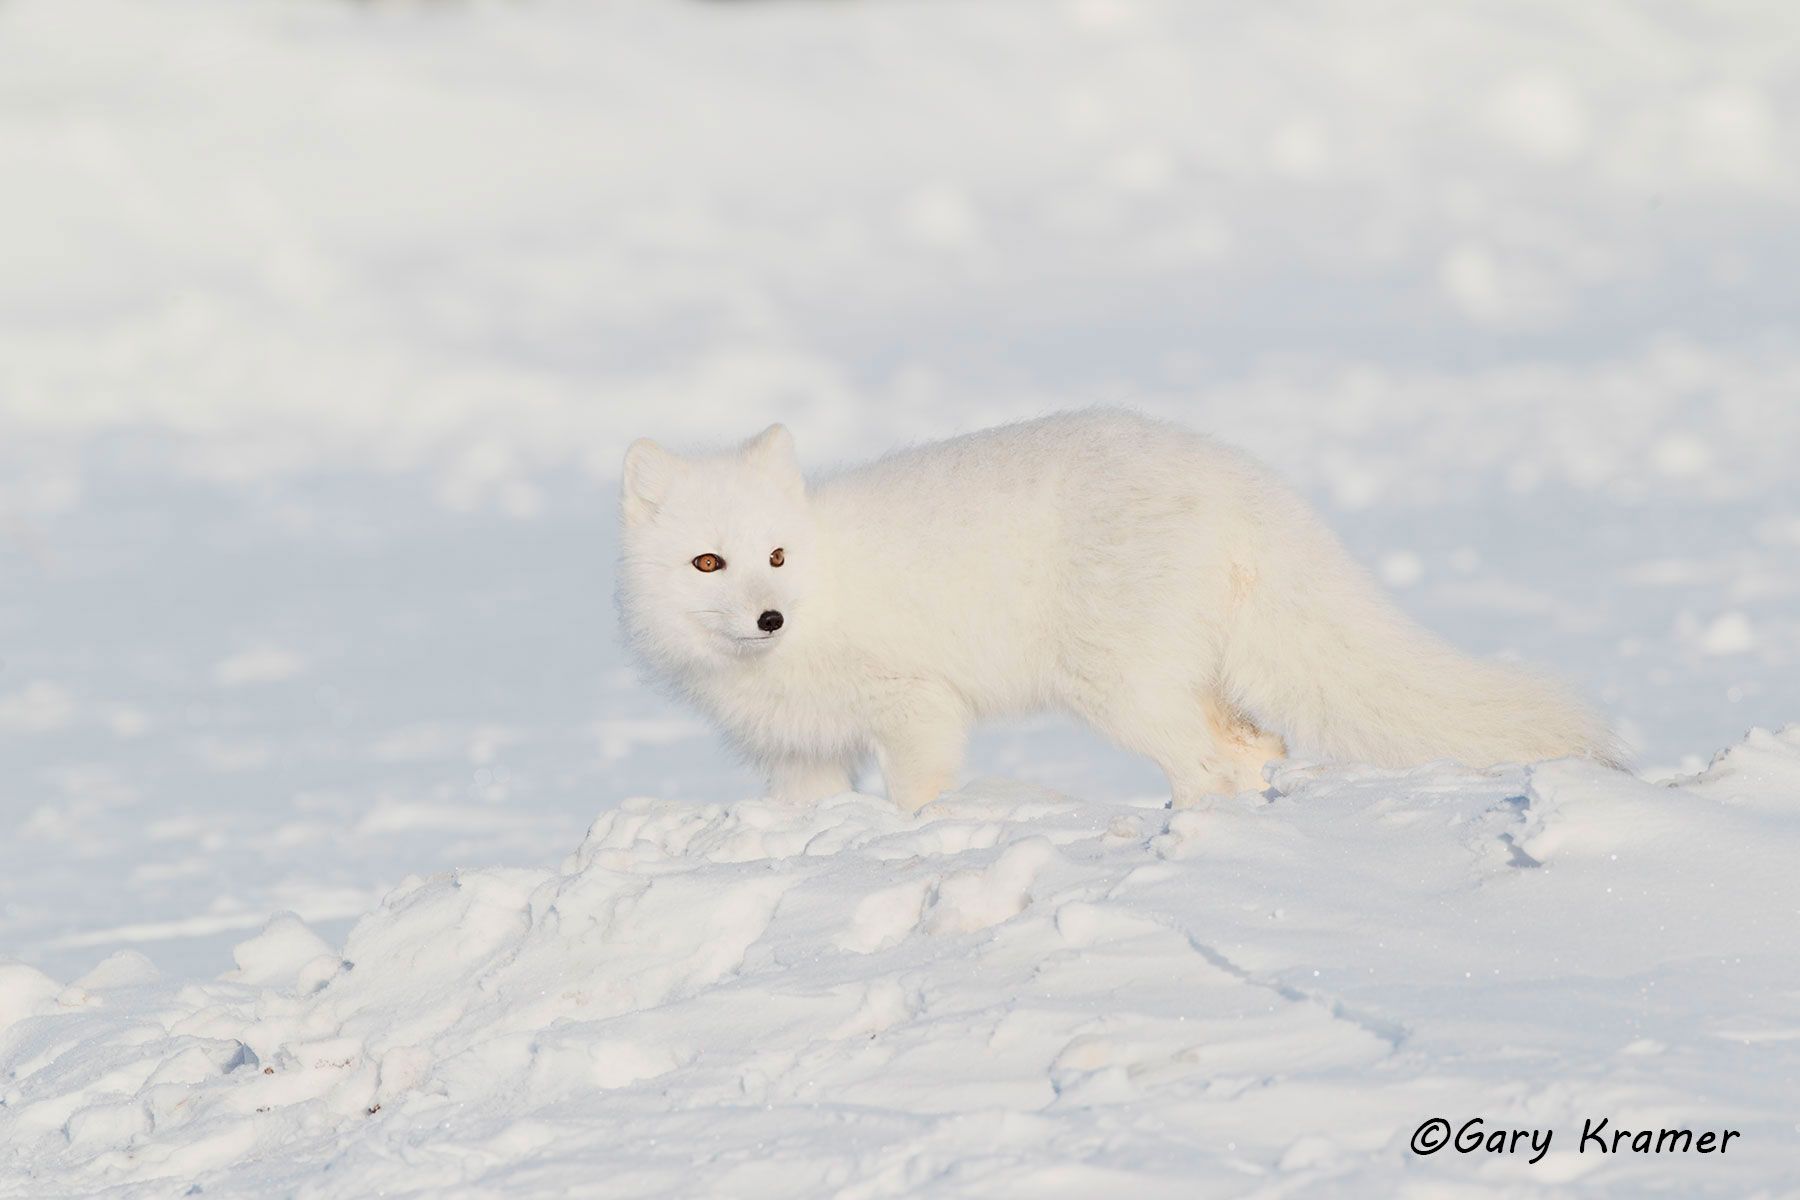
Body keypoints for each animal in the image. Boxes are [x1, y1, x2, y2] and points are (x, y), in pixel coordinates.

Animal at [616, 410, 1621, 812]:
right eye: (710, 563)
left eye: (778, 558)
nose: (770, 620)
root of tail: (1233, 478)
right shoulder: (802, 757)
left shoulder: (919, 709)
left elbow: (917, 797)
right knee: (1256, 746)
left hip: (1117, 690)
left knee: (1213, 762)